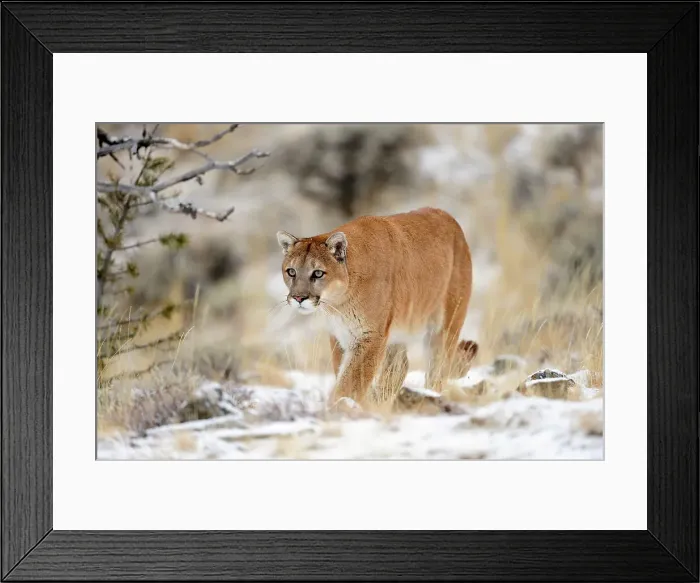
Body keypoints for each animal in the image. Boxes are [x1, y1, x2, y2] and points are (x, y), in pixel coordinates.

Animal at [276, 207, 478, 407]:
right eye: (291, 271)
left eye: (318, 273)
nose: (298, 297)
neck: (339, 303)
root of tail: (448, 216)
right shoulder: (340, 335)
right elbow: (343, 371)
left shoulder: (370, 336)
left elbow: (351, 380)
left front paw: (341, 405)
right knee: (400, 367)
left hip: (446, 326)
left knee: (438, 368)